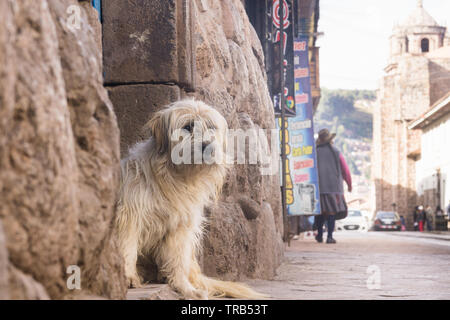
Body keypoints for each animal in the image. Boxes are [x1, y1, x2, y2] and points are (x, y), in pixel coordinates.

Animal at [115, 99, 264, 298]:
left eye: (211, 126)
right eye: (188, 126)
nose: (207, 145)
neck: (176, 178)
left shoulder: (180, 226)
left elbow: (177, 257)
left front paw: (183, 286)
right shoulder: (129, 215)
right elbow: (127, 247)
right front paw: (128, 278)